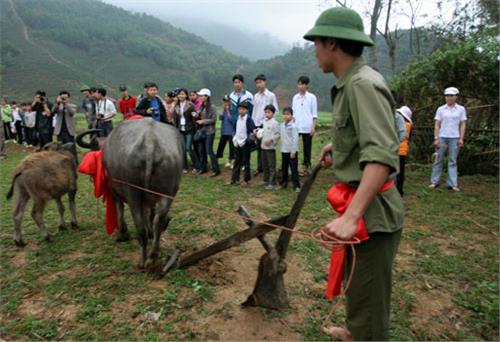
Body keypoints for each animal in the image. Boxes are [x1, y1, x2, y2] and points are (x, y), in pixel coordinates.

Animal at [76, 119, 182, 272]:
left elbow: (119, 209)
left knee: (140, 228)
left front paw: (122, 234)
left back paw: (143, 261)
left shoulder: (114, 190)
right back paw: (153, 256)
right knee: (158, 221)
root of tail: (150, 141)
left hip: (133, 194)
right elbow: (148, 213)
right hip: (168, 194)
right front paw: (149, 232)